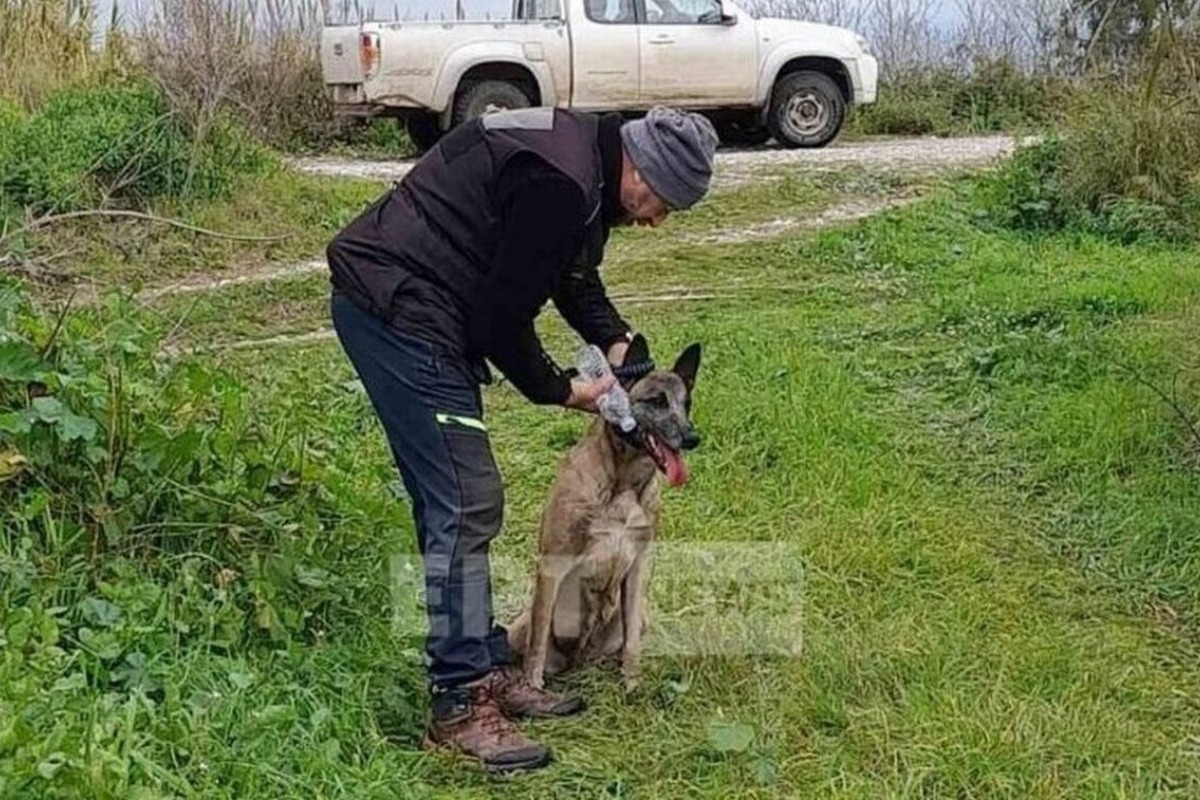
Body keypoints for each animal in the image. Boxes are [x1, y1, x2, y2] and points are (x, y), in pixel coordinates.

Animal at [508, 335, 700, 690]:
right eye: (656, 401)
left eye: (687, 403)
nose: (693, 437)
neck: (623, 483)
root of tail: (579, 661)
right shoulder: (552, 566)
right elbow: (537, 646)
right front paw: (532, 688)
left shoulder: (638, 566)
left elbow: (632, 645)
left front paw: (632, 683)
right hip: (519, 627)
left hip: (639, 616)